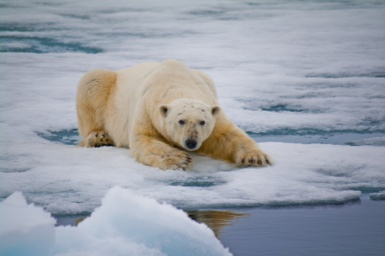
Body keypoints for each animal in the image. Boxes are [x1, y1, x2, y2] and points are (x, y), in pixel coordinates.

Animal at [76, 59, 272, 170]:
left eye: (202, 122)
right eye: (181, 121)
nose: (191, 142)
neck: (175, 81)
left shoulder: (213, 108)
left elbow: (226, 135)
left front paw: (256, 158)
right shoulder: (147, 108)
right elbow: (144, 139)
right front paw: (181, 160)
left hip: (208, 78)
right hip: (107, 90)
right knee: (93, 82)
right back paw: (99, 137)